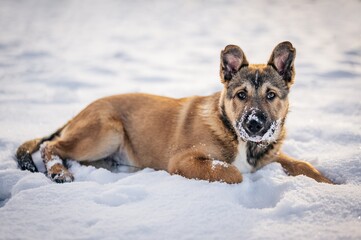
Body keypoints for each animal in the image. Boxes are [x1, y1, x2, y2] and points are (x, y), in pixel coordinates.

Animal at [16, 41, 332, 184]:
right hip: (107, 130)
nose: (254, 124)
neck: (234, 132)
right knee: (49, 146)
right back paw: (59, 171)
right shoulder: (184, 160)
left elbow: (303, 165)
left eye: (271, 96)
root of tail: (77, 114)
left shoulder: (271, 155)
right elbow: (231, 171)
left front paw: (331, 185)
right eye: (241, 95)